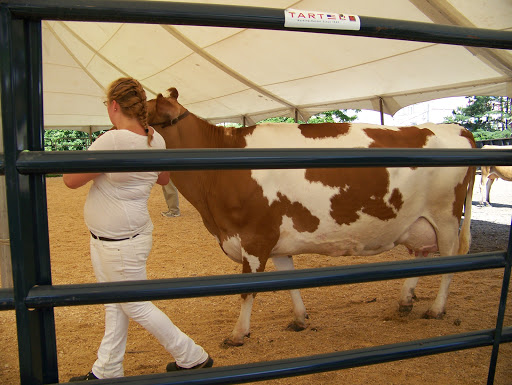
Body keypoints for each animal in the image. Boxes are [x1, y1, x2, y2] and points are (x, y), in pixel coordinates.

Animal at [147, 88, 476, 346]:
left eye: (143, 115)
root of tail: (456, 129)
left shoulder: (255, 238)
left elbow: (247, 291)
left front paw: (238, 334)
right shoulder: (275, 239)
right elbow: (288, 281)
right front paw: (300, 319)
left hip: (446, 218)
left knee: (450, 260)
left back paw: (436, 309)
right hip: (419, 222)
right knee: (422, 255)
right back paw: (405, 300)